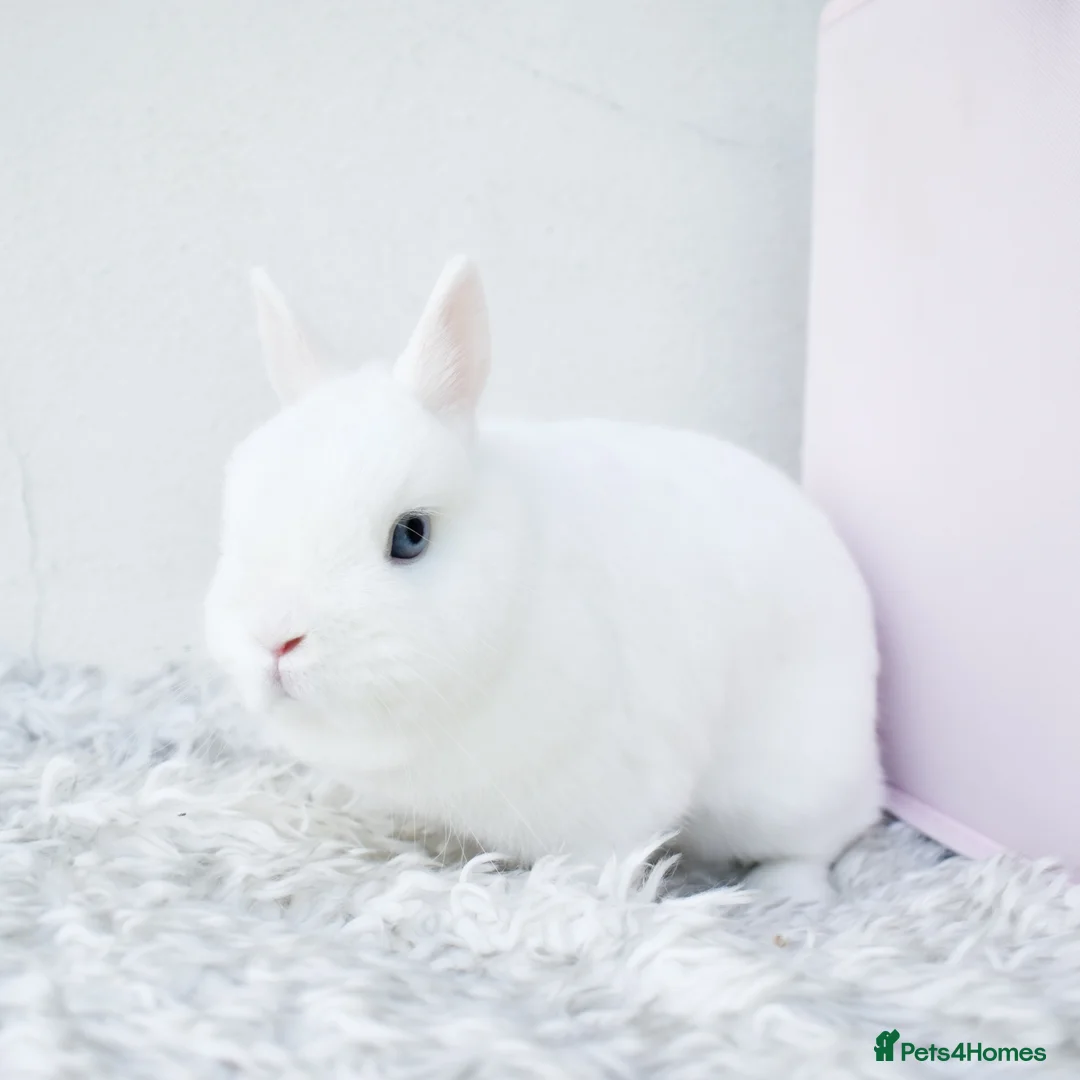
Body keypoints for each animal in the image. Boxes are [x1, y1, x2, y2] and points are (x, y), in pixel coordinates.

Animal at [204, 256, 883, 903]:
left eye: (411, 534)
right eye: (239, 515)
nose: (274, 639)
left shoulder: (613, 801)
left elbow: (593, 868)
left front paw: (561, 900)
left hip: (793, 792)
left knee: (826, 839)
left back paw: (787, 893)